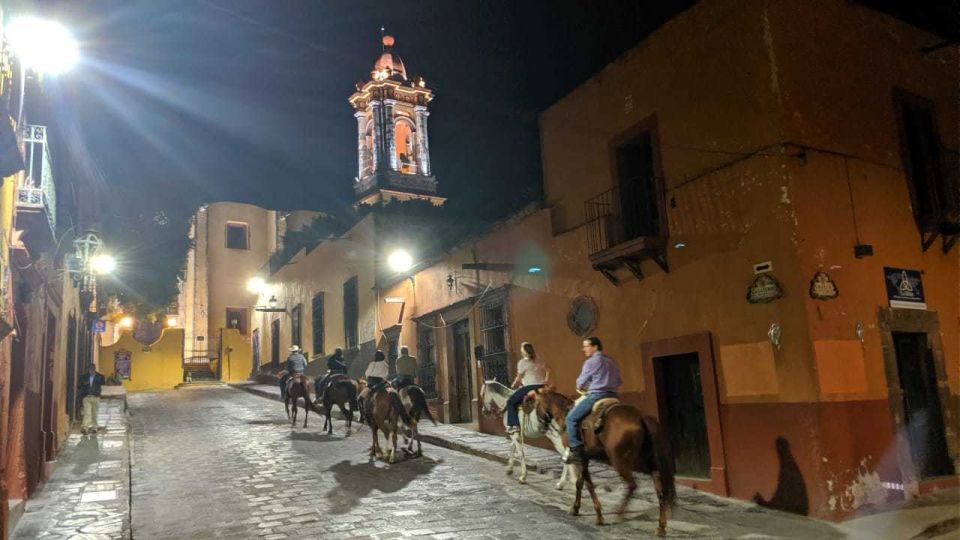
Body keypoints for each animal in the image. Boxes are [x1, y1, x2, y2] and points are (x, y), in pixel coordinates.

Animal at [532, 388, 676, 536]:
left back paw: (620, 512)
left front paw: (599, 516)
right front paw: (576, 509)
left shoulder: (581, 458)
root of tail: (640, 418)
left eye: (536, 405)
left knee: (632, 485)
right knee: (660, 490)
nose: (540, 426)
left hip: (620, 460)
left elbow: (588, 485)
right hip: (648, 461)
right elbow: (580, 483)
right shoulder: (584, 458)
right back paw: (661, 527)